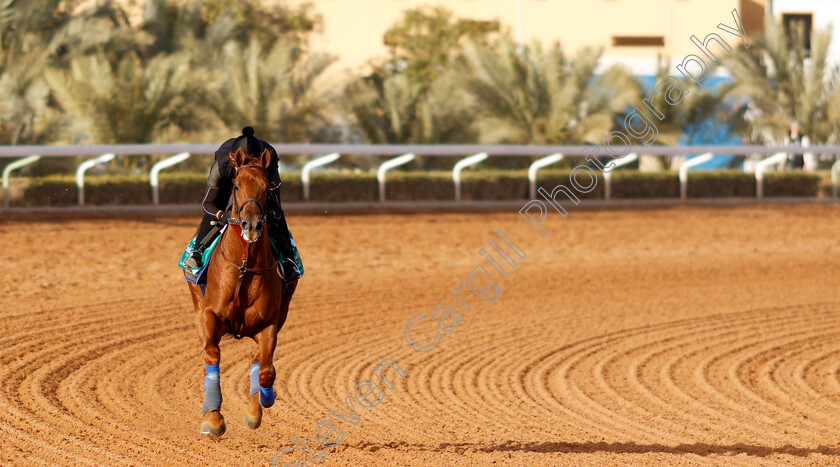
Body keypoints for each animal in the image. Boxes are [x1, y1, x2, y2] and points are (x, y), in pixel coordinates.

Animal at [188, 148, 298, 436]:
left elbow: (267, 369)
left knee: (256, 359)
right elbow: (211, 355)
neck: (244, 266)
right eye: (236, 186)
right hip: (197, 308)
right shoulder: (210, 315)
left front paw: (263, 402)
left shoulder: (269, 324)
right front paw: (213, 418)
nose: (251, 225)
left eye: (266, 188)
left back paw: (255, 407)